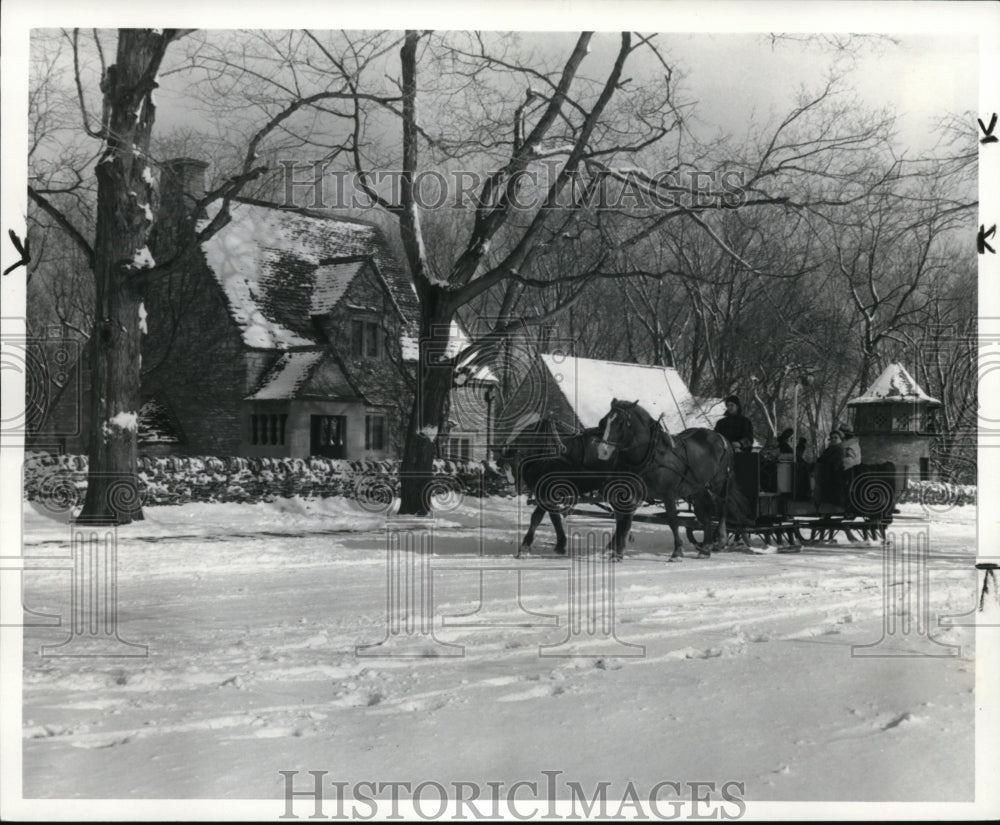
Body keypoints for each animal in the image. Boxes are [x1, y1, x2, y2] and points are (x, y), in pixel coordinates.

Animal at [592, 400, 744, 560]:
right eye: (604, 422)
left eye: (621, 423)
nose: (602, 451)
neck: (652, 455)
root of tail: (721, 437)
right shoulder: (633, 493)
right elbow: (625, 521)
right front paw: (618, 553)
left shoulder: (668, 494)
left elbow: (672, 520)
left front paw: (677, 551)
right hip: (698, 489)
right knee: (705, 515)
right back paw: (706, 548)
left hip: (719, 483)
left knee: (723, 506)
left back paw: (721, 539)